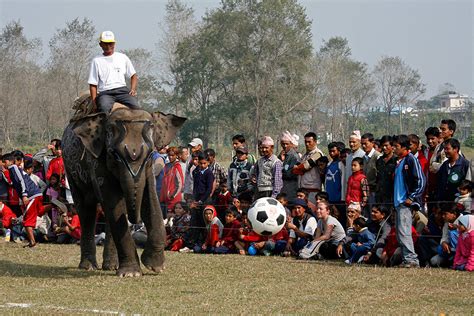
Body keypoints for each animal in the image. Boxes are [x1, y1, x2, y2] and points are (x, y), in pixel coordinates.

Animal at [62, 105, 187, 276]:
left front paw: (155, 266)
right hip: (71, 170)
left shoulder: (149, 169)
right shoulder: (97, 161)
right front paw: (131, 273)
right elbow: (114, 202)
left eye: (150, 154)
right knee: (87, 211)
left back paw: (111, 266)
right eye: (114, 155)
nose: (137, 221)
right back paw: (88, 266)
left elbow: (150, 200)